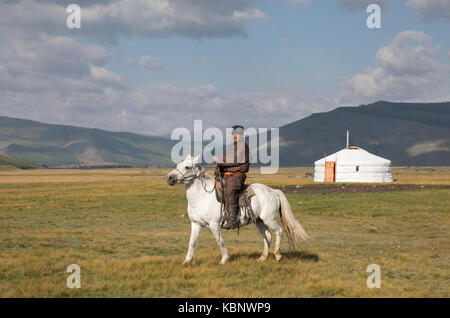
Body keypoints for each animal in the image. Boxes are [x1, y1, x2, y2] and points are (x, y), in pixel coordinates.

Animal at [165, 155, 310, 264]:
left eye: (187, 167)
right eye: (178, 164)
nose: (169, 178)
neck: (202, 196)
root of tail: (273, 191)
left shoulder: (214, 225)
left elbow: (220, 241)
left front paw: (224, 260)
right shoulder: (195, 224)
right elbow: (192, 243)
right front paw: (187, 261)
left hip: (269, 219)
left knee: (279, 231)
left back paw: (278, 255)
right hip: (259, 221)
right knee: (267, 236)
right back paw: (262, 258)